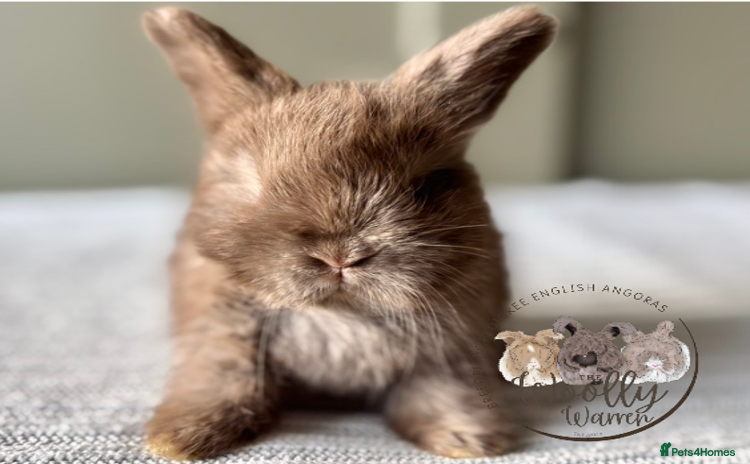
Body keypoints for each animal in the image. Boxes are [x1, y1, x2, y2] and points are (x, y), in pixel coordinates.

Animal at [141, 5, 557, 460]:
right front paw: (179, 437)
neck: (342, 313)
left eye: (424, 185)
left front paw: (471, 439)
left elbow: (442, 394)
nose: (340, 255)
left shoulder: (450, 353)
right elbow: (223, 378)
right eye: (257, 183)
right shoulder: (222, 334)